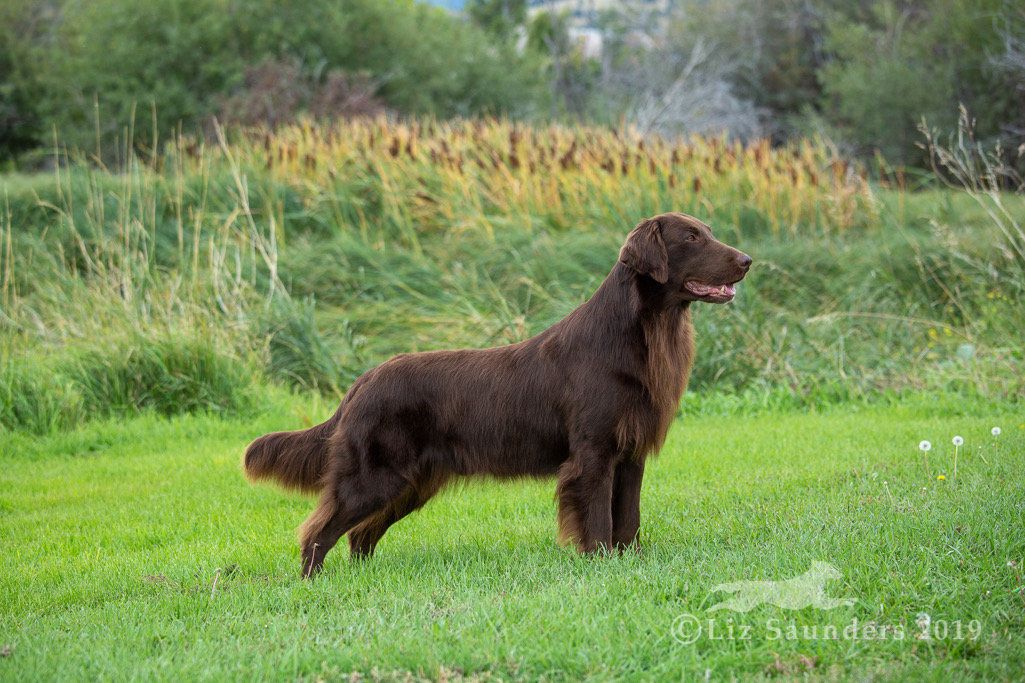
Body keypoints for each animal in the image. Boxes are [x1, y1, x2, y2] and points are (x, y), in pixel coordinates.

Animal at [243, 213, 750, 574]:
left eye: (708, 232)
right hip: (374, 477)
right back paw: (313, 583)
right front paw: (602, 564)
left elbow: (629, 518)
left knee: (359, 536)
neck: (638, 336)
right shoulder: (593, 454)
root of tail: (361, 382)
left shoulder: (629, 455)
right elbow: (599, 520)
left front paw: (632, 563)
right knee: (319, 532)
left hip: (410, 483)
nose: (747, 260)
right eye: (691, 238)